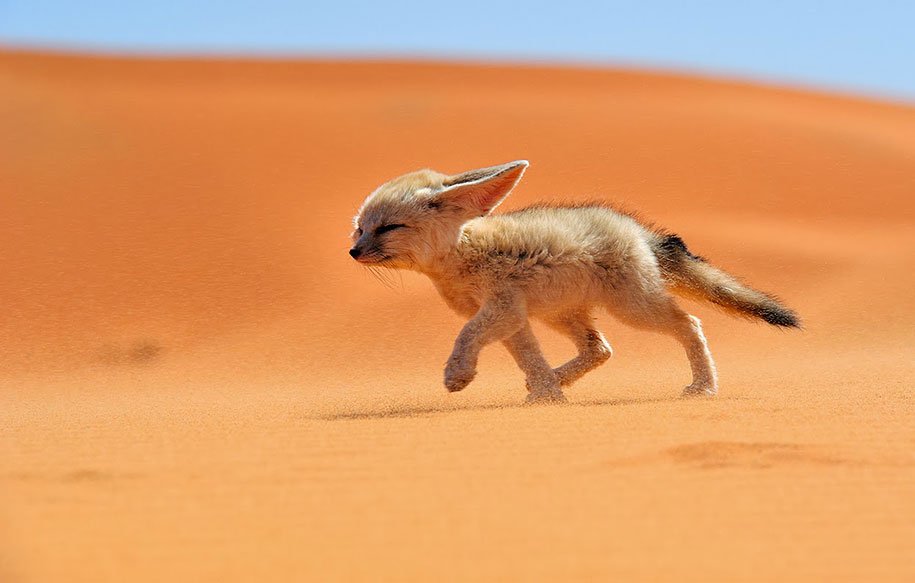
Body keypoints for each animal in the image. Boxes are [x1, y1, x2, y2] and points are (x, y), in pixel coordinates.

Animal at [350, 160, 799, 403]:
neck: (463, 253)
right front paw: (547, 394)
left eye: (388, 228)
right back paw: (556, 379)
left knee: (689, 323)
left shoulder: (501, 309)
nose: (353, 252)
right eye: (360, 229)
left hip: (634, 309)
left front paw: (458, 374)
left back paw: (704, 386)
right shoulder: (513, 318)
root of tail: (637, 230)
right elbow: (528, 357)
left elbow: (466, 336)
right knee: (600, 349)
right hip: (562, 314)